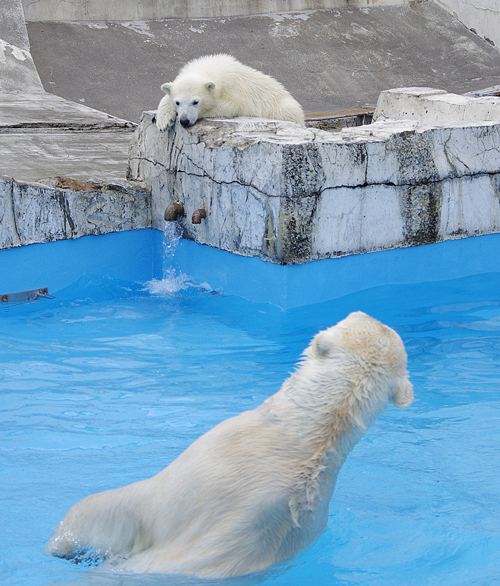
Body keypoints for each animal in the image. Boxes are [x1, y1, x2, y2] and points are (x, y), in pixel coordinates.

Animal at [47, 310, 414, 576]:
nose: (368, 313)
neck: (316, 434)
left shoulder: (207, 456)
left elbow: (109, 508)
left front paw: (61, 545)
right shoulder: (313, 524)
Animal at [155, 53, 304, 129]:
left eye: (195, 102)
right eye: (177, 102)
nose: (184, 121)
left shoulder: (234, 89)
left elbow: (232, 105)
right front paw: (163, 121)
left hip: (284, 109)